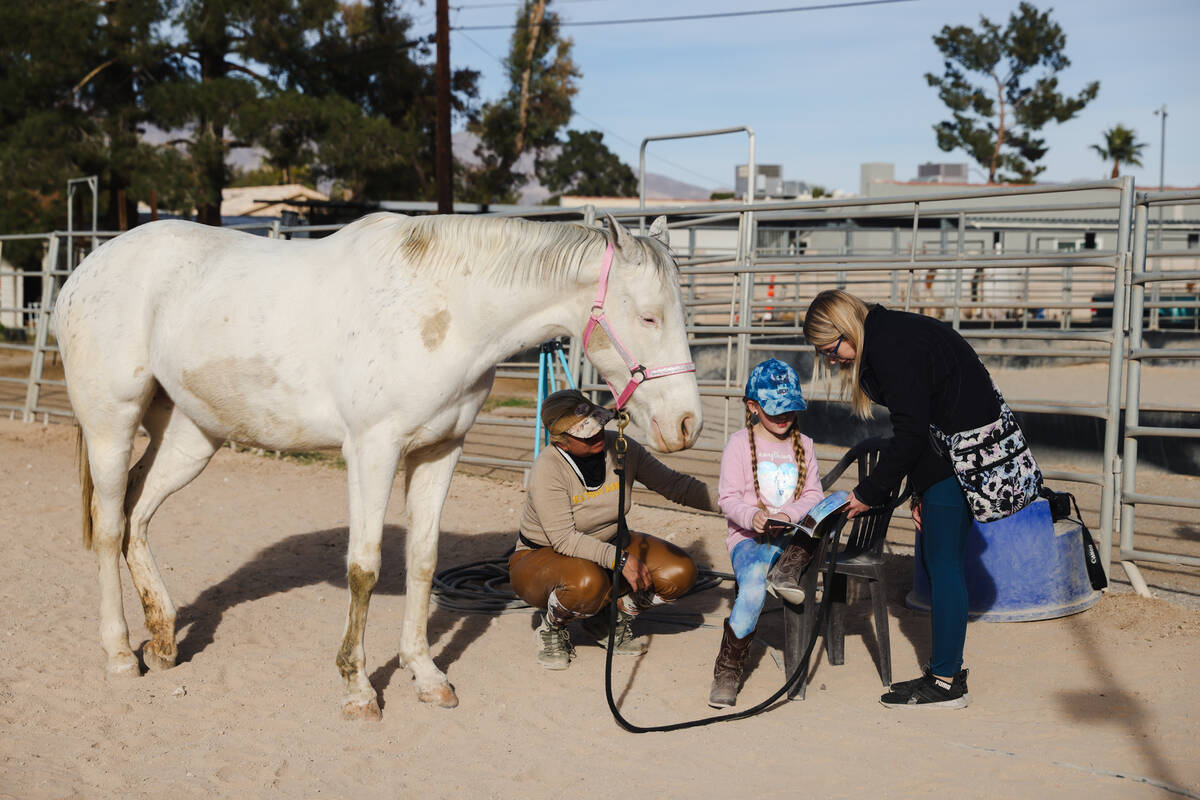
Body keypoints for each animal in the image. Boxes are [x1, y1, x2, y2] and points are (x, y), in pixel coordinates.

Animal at [54, 211, 700, 719]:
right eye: (648, 316)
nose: (686, 425)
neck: (442, 308)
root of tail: (84, 272)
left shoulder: (440, 451)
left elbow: (423, 561)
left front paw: (427, 676)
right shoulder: (372, 450)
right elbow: (364, 568)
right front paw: (358, 688)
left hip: (192, 436)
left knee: (137, 514)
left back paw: (163, 641)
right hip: (111, 423)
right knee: (110, 525)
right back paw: (120, 654)